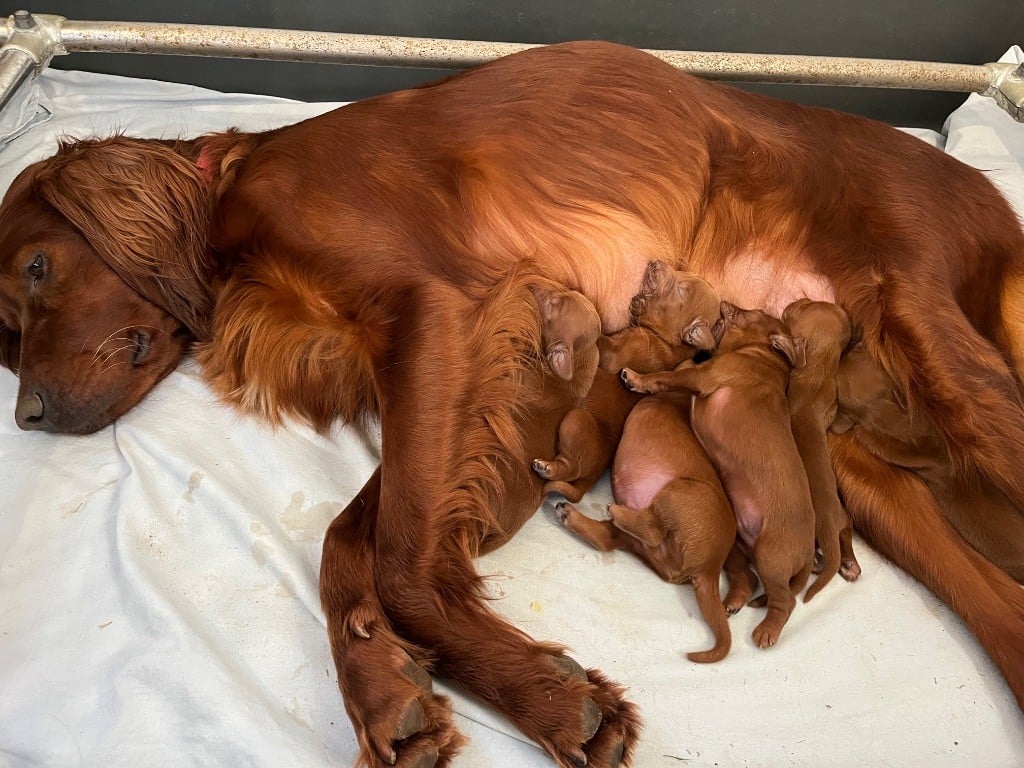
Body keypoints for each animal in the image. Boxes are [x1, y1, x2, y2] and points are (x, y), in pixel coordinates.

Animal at [532, 264, 716, 505]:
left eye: (682, 290)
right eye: (682, 273)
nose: (656, 263)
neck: (665, 340)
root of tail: (589, 482)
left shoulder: (615, 355)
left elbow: (598, 334)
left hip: (575, 421)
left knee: (571, 467)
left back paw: (548, 468)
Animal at [614, 303, 815, 647]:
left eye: (751, 312)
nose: (726, 304)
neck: (763, 357)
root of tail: (807, 552)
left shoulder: (702, 376)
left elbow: (667, 376)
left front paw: (638, 378)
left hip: (772, 556)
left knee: (785, 601)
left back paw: (767, 630)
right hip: (744, 547)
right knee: (752, 580)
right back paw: (734, 601)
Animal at [782, 299, 864, 602]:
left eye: (797, 310)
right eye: (809, 304)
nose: (792, 301)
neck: (817, 371)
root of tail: (828, 527)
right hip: (843, 519)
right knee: (847, 534)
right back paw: (849, 564)